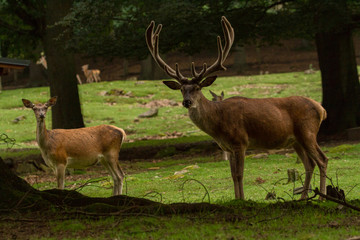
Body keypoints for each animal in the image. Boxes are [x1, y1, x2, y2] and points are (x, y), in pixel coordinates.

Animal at [145, 15, 328, 200]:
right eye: (182, 89)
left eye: (197, 88)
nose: (187, 102)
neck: (218, 124)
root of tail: (322, 109)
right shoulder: (229, 147)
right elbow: (233, 175)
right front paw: (236, 199)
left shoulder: (240, 141)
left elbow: (240, 174)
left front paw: (242, 199)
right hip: (296, 140)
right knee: (309, 164)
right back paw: (303, 198)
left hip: (307, 131)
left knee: (322, 160)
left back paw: (321, 197)